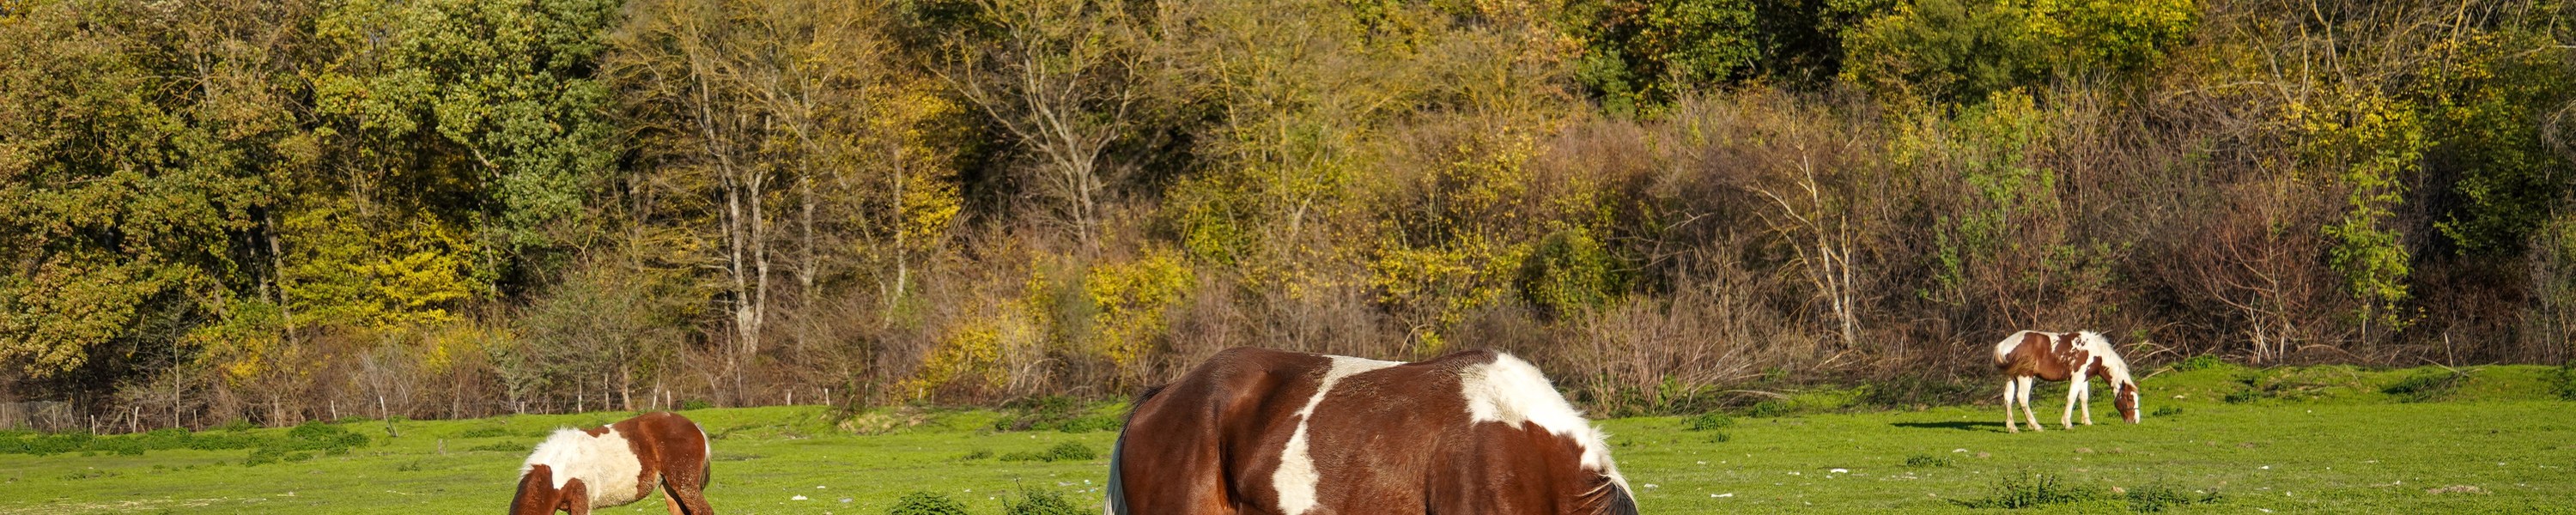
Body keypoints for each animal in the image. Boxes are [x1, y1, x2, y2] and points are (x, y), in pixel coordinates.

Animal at [1993, 330, 2141, 432]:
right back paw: (2036, 426)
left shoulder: (2084, 379)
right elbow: (2072, 398)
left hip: (2011, 377)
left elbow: (2084, 398)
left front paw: (2087, 421)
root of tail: (2004, 344)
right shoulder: (2077, 377)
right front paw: (2067, 423)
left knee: (2008, 398)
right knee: (2022, 398)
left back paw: (2012, 427)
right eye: (2129, 398)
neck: (2095, 352)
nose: (2135, 421)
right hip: (2025, 376)